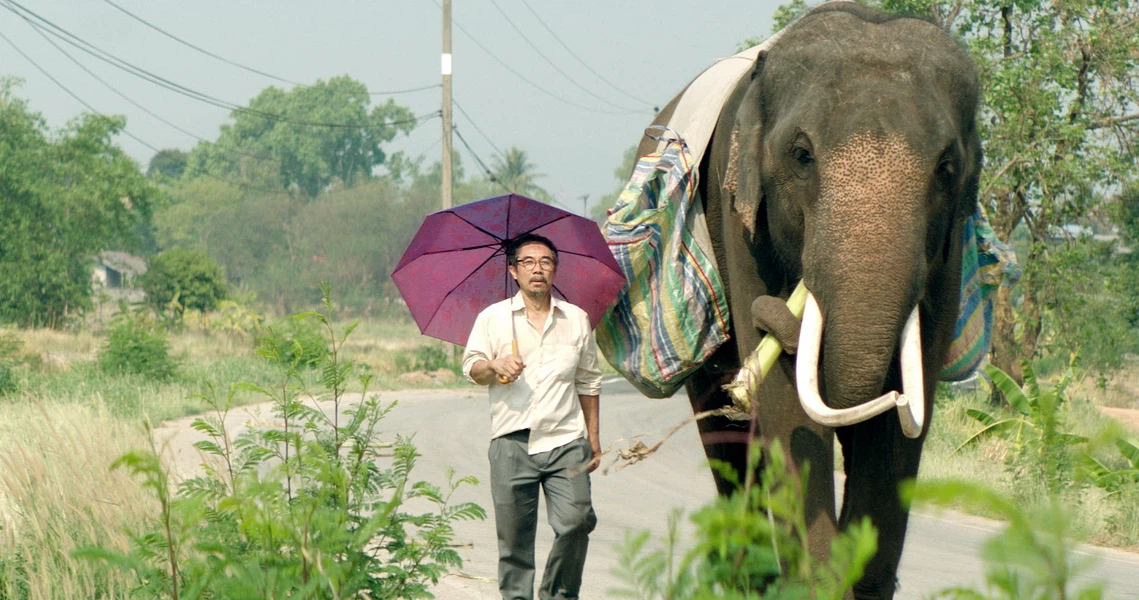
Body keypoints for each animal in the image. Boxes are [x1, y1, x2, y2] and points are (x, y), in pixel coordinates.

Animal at [637, 2, 984, 596]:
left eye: (946, 169)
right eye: (801, 155)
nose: (774, 317)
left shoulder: (947, 255)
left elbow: (903, 421)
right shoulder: (737, 211)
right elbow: (785, 409)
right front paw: (817, 582)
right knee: (727, 436)